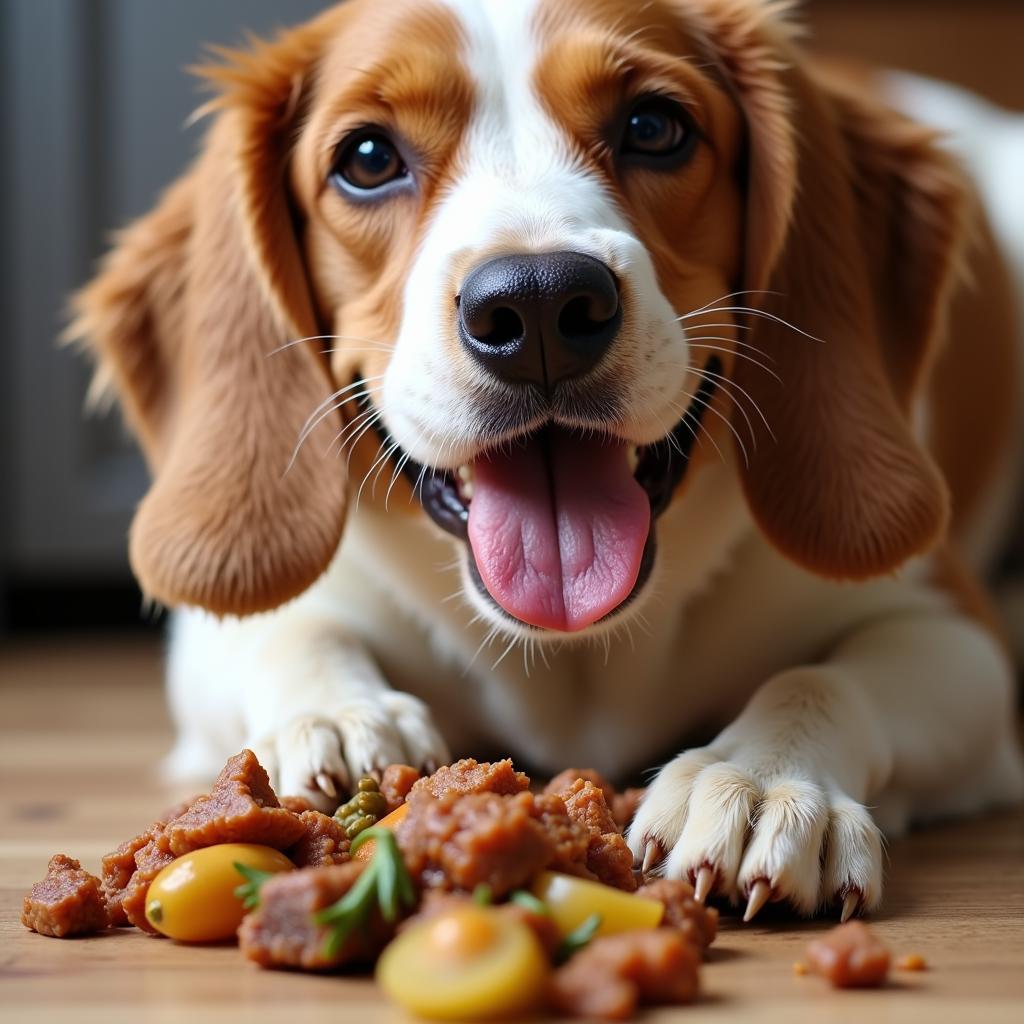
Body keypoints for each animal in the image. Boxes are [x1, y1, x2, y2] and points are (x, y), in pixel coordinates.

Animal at [74, 0, 1024, 925]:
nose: (535, 303)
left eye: (653, 126)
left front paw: (759, 779)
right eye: (368, 159)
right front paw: (337, 714)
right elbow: (292, 630)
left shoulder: (955, 634)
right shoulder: (220, 636)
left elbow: (821, 681)